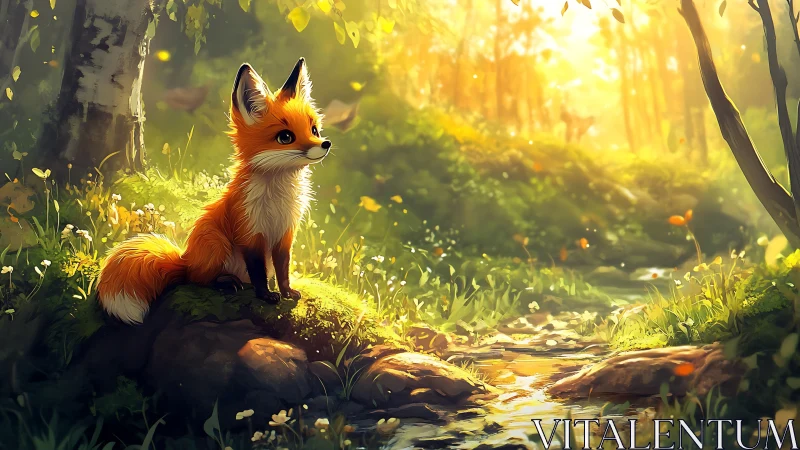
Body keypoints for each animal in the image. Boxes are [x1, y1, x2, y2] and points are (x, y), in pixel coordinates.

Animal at [96, 58, 331, 324]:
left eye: (314, 130)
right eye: (285, 137)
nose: (325, 144)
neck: (278, 198)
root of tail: (185, 259)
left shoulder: (285, 234)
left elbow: (283, 270)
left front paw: (287, 292)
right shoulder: (250, 233)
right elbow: (258, 272)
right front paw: (265, 296)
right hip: (216, 243)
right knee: (197, 280)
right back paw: (226, 282)